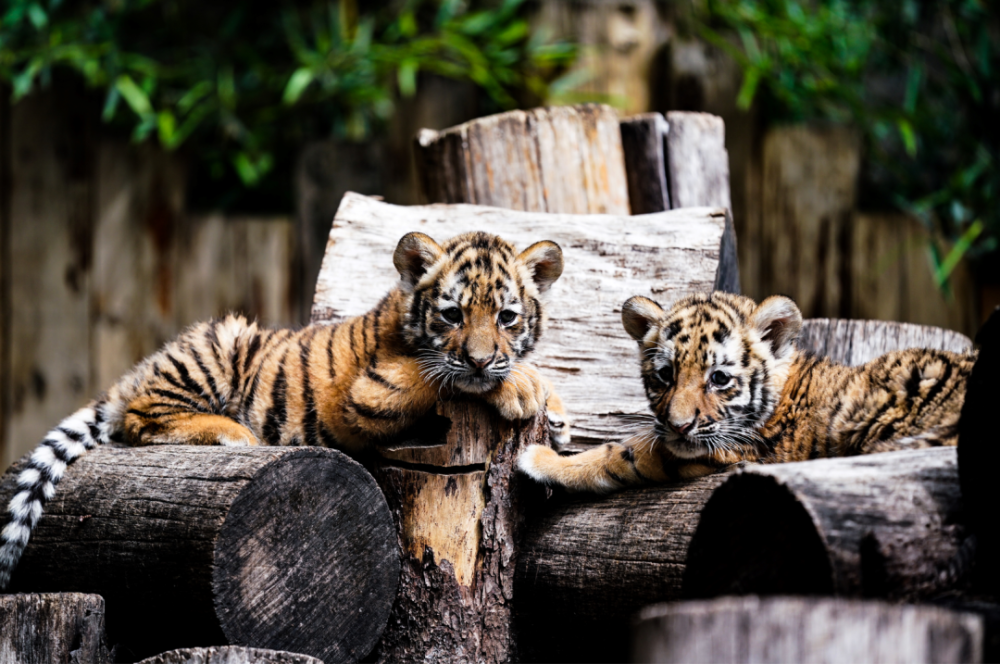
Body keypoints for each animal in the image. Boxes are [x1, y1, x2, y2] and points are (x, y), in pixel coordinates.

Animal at [0, 230, 571, 588]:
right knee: (139, 418)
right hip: (216, 345)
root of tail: (134, 373)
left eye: (507, 317)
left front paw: (558, 417)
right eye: (452, 315)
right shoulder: (372, 394)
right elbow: (451, 379)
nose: (481, 358)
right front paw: (520, 387)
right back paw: (231, 431)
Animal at [518, 291, 974, 493]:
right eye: (665, 374)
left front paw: (540, 459)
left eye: (719, 378)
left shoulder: (713, 451)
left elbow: (617, 455)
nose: (679, 426)